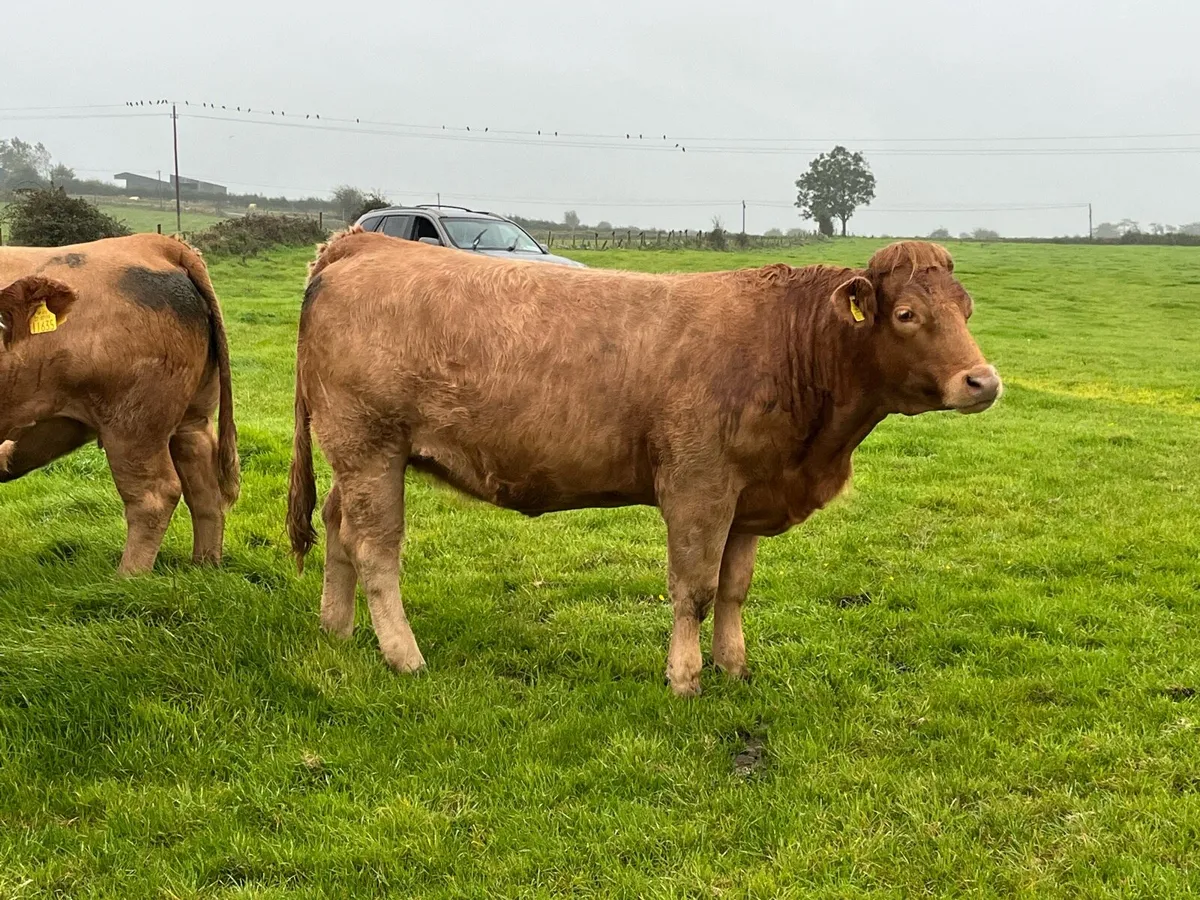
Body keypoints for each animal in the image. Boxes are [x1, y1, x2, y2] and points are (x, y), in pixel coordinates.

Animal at [0, 233, 239, 574]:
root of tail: (153, 243)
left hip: (133, 424)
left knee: (154, 495)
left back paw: (128, 577)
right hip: (194, 417)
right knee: (204, 489)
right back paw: (204, 567)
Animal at [287, 231, 1001, 696]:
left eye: (966, 308)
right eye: (906, 314)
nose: (983, 381)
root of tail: (364, 242)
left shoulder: (750, 495)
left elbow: (735, 589)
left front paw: (735, 668)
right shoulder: (697, 486)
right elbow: (695, 587)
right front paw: (684, 679)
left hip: (357, 460)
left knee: (339, 530)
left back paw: (336, 631)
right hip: (370, 448)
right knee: (377, 551)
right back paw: (403, 657)